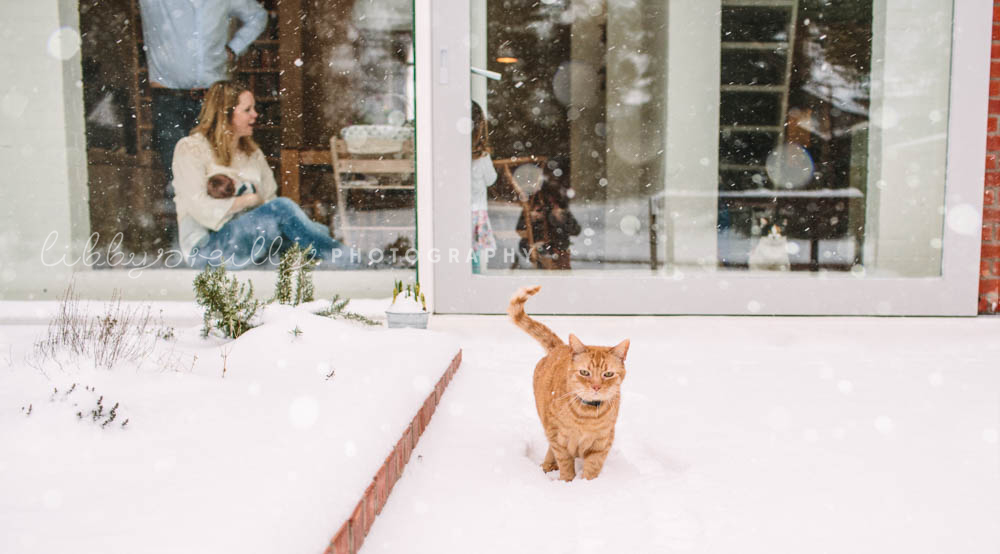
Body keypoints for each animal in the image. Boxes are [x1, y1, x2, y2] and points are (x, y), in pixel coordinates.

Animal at [512, 284, 628, 478]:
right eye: (585, 372)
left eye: (608, 374)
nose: (596, 386)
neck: (587, 416)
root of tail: (561, 346)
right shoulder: (558, 438)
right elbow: (566, 465)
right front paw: (567, 482)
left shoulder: (602, 443)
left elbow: (592, 469)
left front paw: (587, 484)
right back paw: (548, 466)